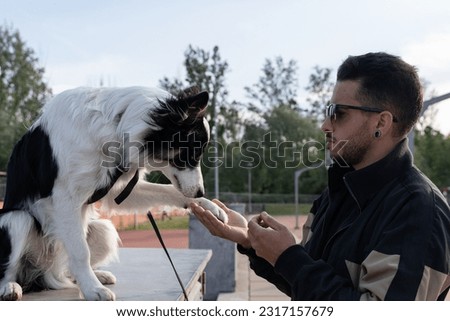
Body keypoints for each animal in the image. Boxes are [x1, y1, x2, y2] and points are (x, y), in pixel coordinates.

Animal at [0, 85, 225, 300]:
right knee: (10, 267)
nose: (199, 191)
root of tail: (45, 275)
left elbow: (169, 190)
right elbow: (80, 252)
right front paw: (92, 290)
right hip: (17, 220)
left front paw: (208, 206)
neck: (115, 127)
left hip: (103, 230)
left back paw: (94, 275)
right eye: (194, 154)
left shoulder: (113, 191)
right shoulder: (64, 198)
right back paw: (10, 286)